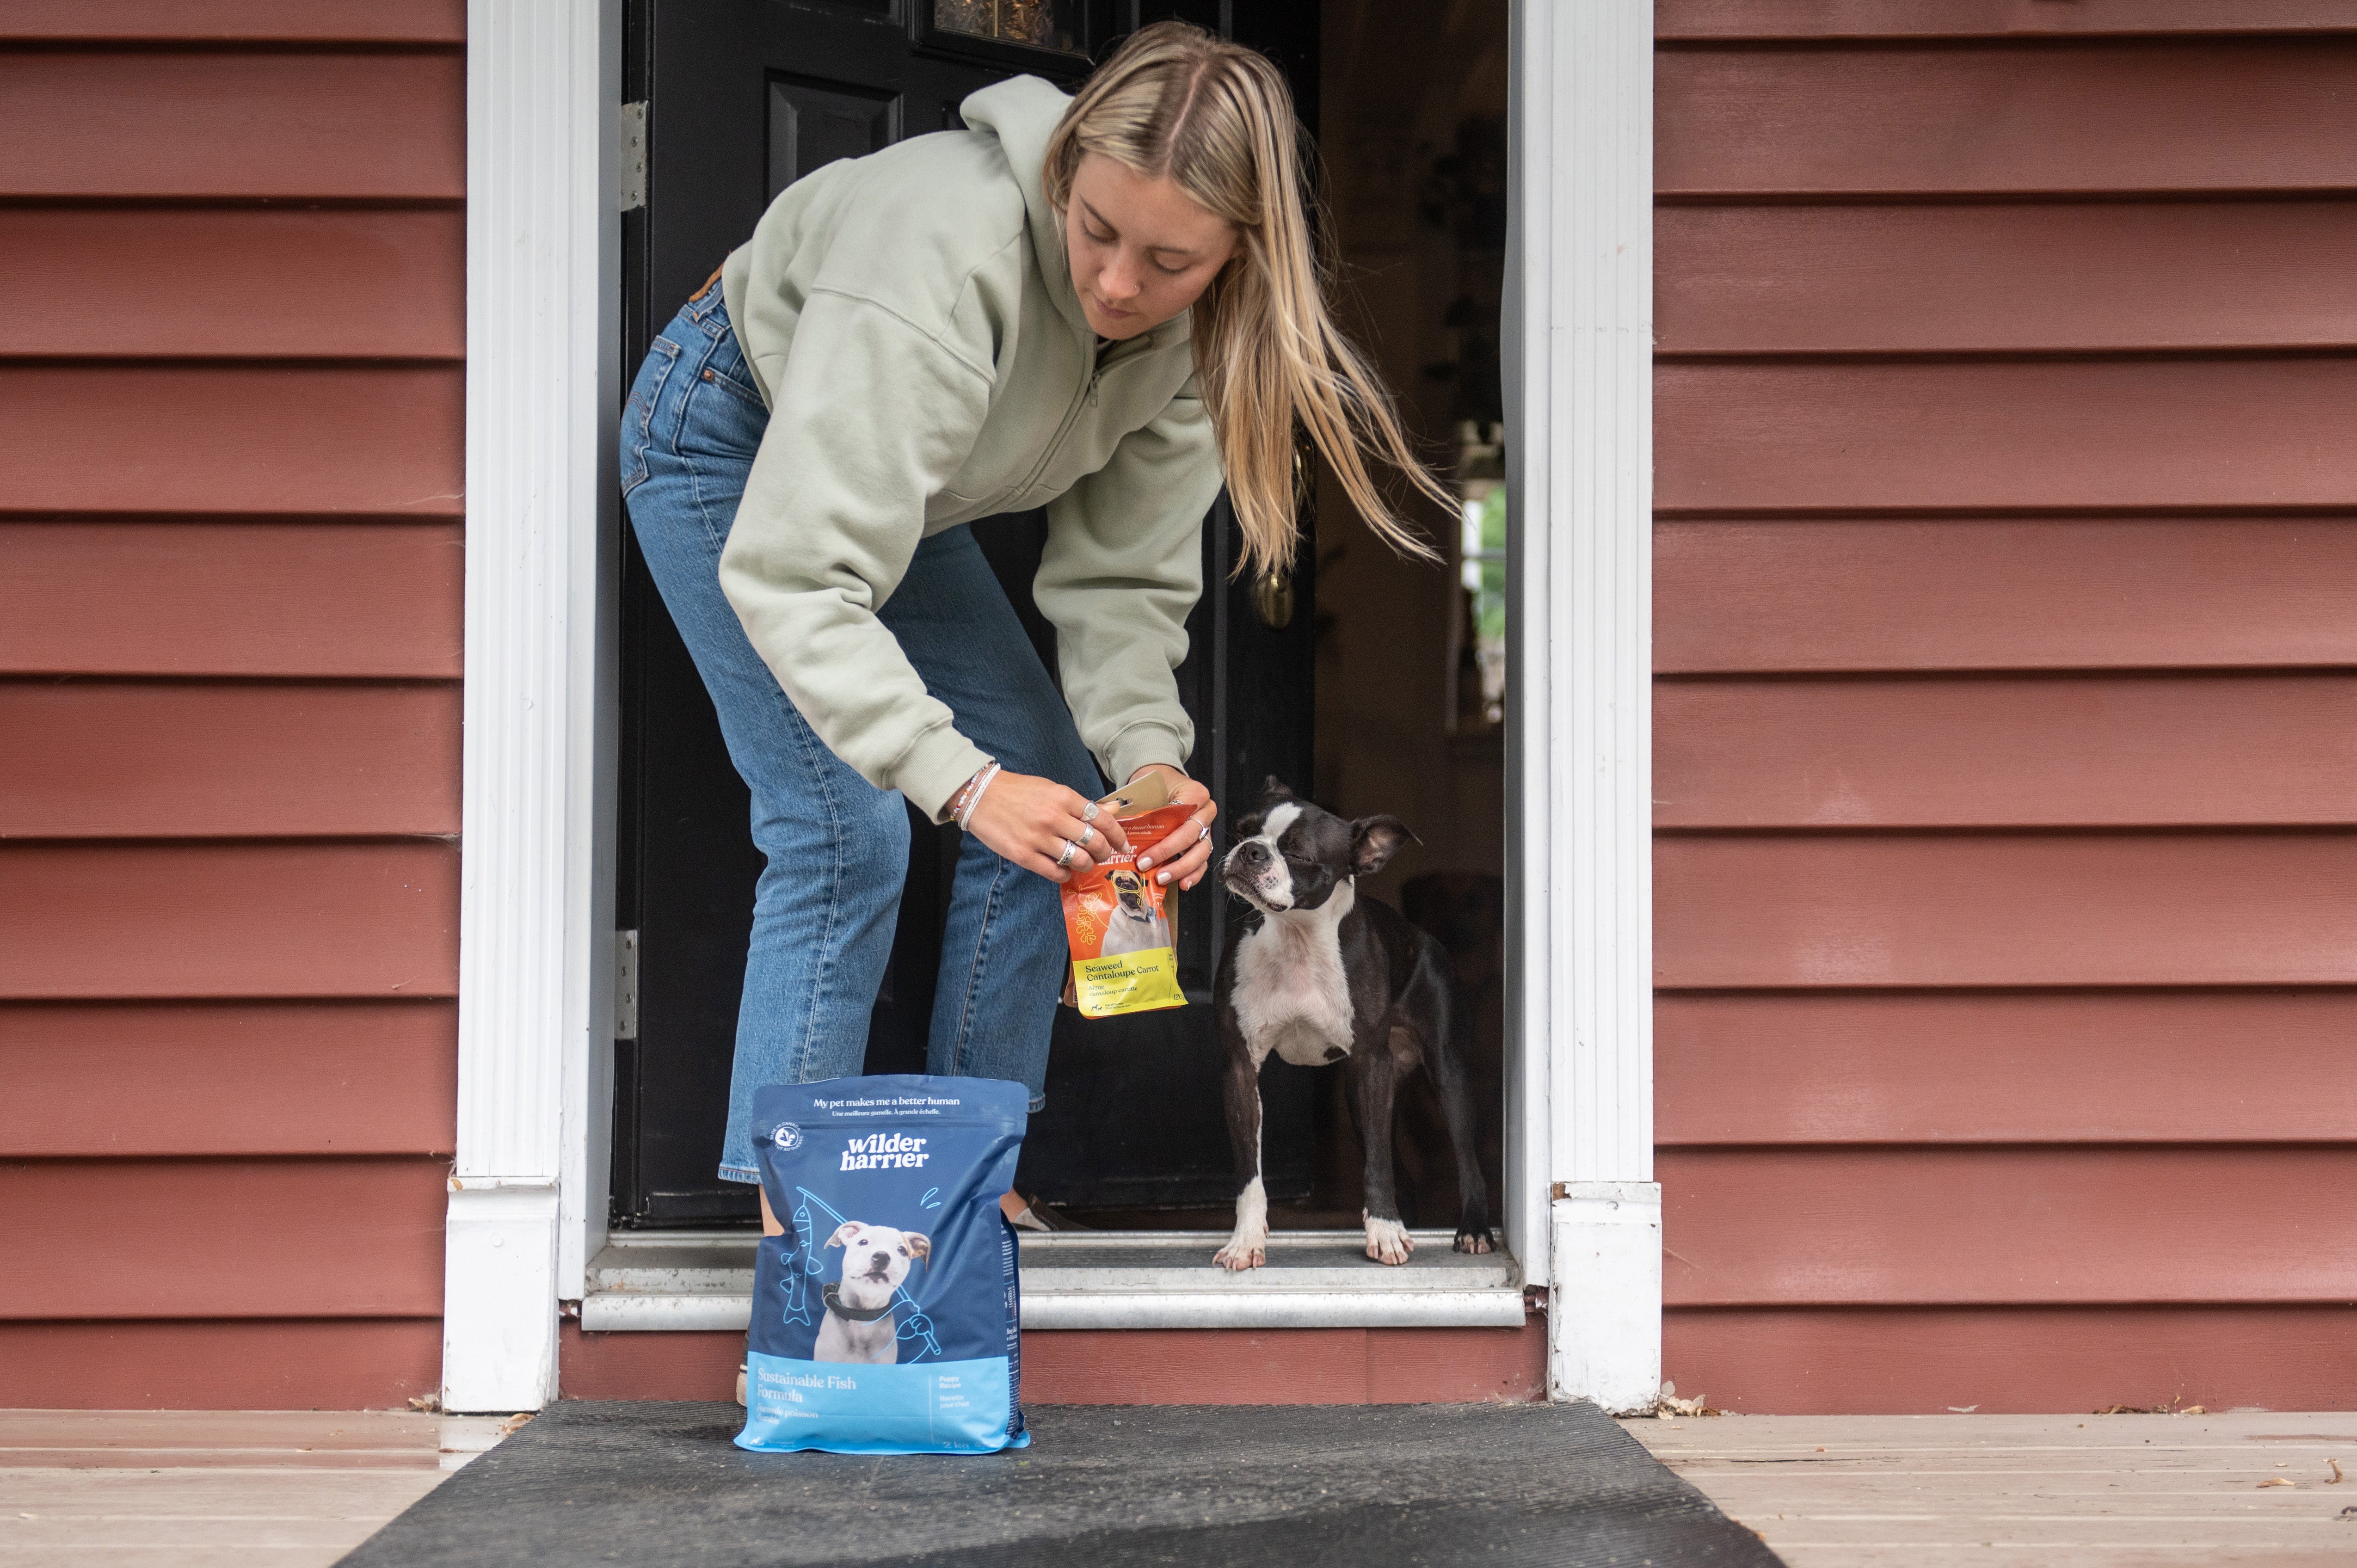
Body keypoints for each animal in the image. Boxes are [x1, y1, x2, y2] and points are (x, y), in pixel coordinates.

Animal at [1216, 778, 1489, 1264]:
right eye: (1241, 830)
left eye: (1300, 854)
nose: (1251, 851)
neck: (1298, 937)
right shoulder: (1240, 1068)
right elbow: (1250, 1171)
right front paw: (1245, 1241)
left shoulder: (1372, 1063)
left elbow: (1377, 1163)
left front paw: (1384, 1230)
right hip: (1360, 1093)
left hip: (1447, 1075)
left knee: (1466, 1157)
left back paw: (1473, 1229)